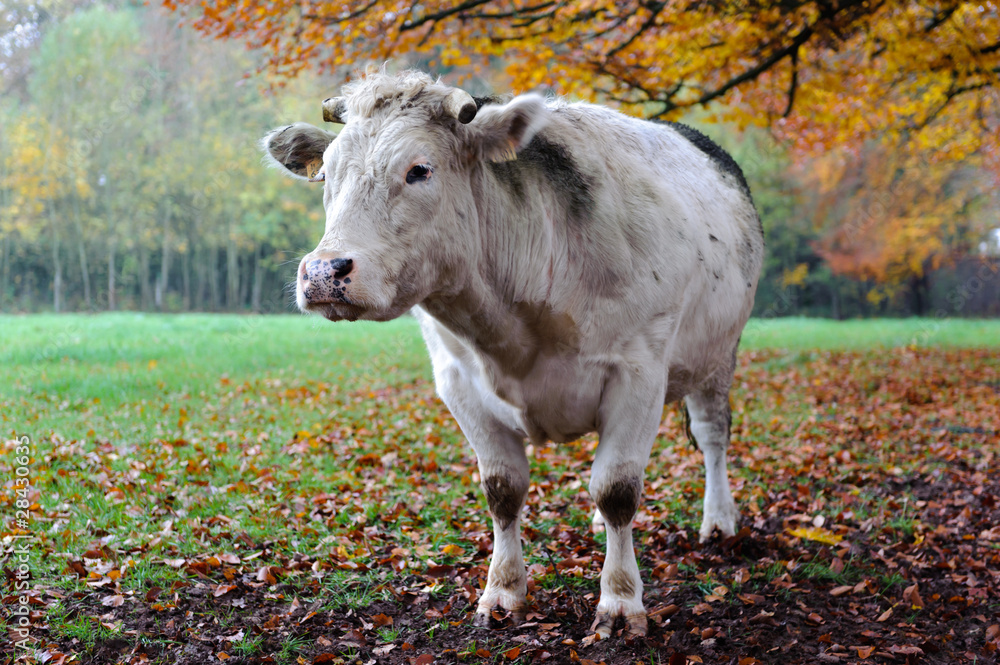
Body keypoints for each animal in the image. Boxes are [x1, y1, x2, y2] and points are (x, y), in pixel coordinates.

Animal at [264, 70, 764, 636]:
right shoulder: (459, 382)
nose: (324, 272)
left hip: (718, 355)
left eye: (419, 170)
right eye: (326, 174)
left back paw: (719, 522)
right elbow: (504, 490)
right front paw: (503, 592)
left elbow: (617, 489)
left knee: (712, 436)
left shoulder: (638, 373)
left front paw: (620, 602)